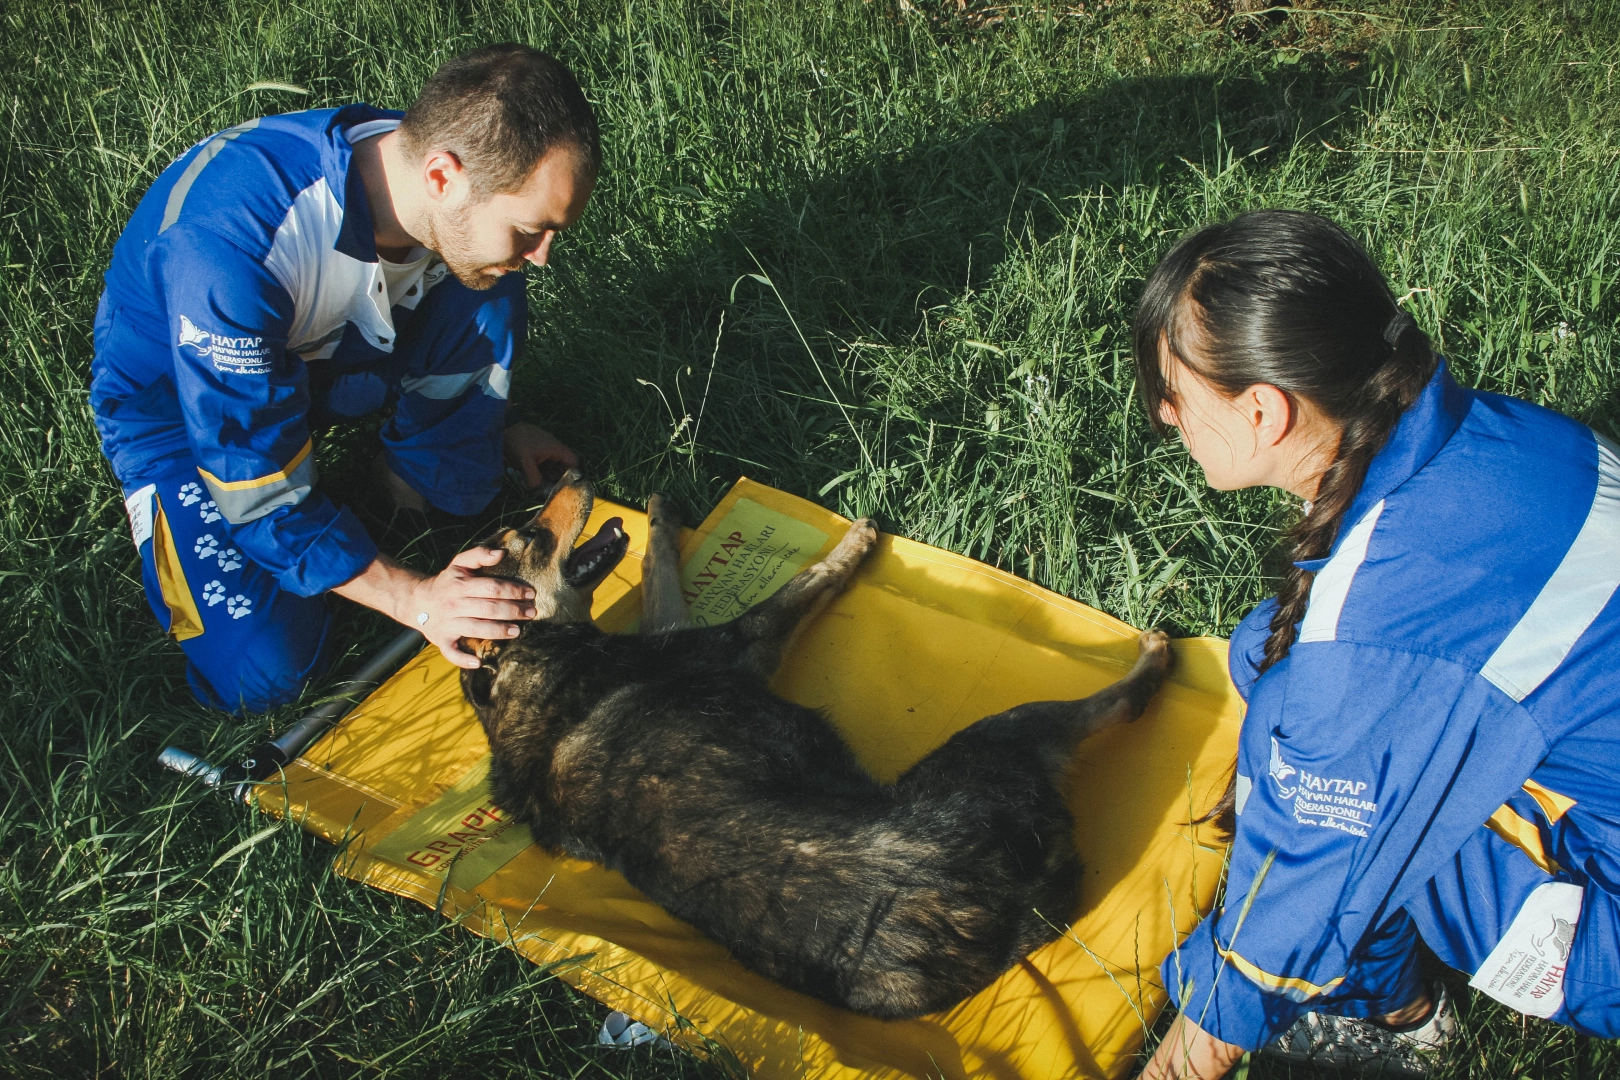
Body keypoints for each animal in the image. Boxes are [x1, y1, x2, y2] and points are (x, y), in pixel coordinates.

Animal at [463, 476, 1172, 1023]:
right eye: (528, 537)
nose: (574, 473)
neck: (521, 667)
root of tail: (1007, 908)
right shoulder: (737, 641)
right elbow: (810, 578)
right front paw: (856, 542)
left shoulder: (689, 632)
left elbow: (658, 567)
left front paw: (662, 511)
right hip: (998, 736)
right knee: (1119, 704)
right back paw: (1154, 654)